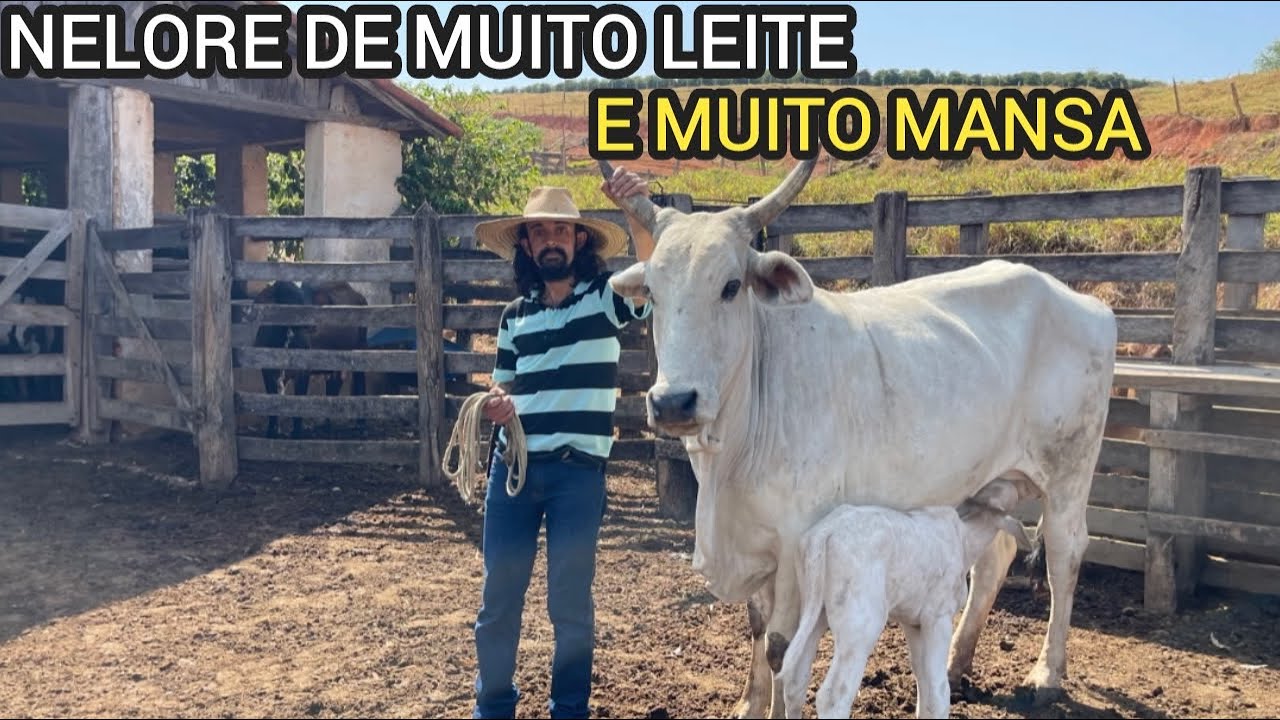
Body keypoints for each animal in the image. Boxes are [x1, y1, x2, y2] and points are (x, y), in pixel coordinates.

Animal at [600, 157, 1117, 716]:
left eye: (731, 286)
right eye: (652, 293)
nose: (673, 402)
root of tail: (1085, 302)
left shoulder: (796, 544)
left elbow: (781, 647)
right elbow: (756, 627)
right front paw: (748, 703)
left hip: (1069, 472)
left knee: (1065, 556)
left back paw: (1047, 673)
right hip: (991, 476)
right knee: (995, 557)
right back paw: (955, 665)